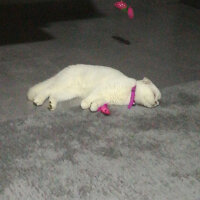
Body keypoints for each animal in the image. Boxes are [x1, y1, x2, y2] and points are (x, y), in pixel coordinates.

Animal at [27, 64, 161, 111]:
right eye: (154, 95)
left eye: (158, 101)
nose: (156, 103)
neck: (129, 93)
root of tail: (64, 70)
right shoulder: (101, 89)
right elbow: (90, 98)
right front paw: (85, 104)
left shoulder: (106, 98)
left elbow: (98, 102)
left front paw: (93, 107)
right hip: (63, 85)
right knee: (47, 90)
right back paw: (38, 100)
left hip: (67, 93)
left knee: (53, 95)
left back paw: (51, 104)